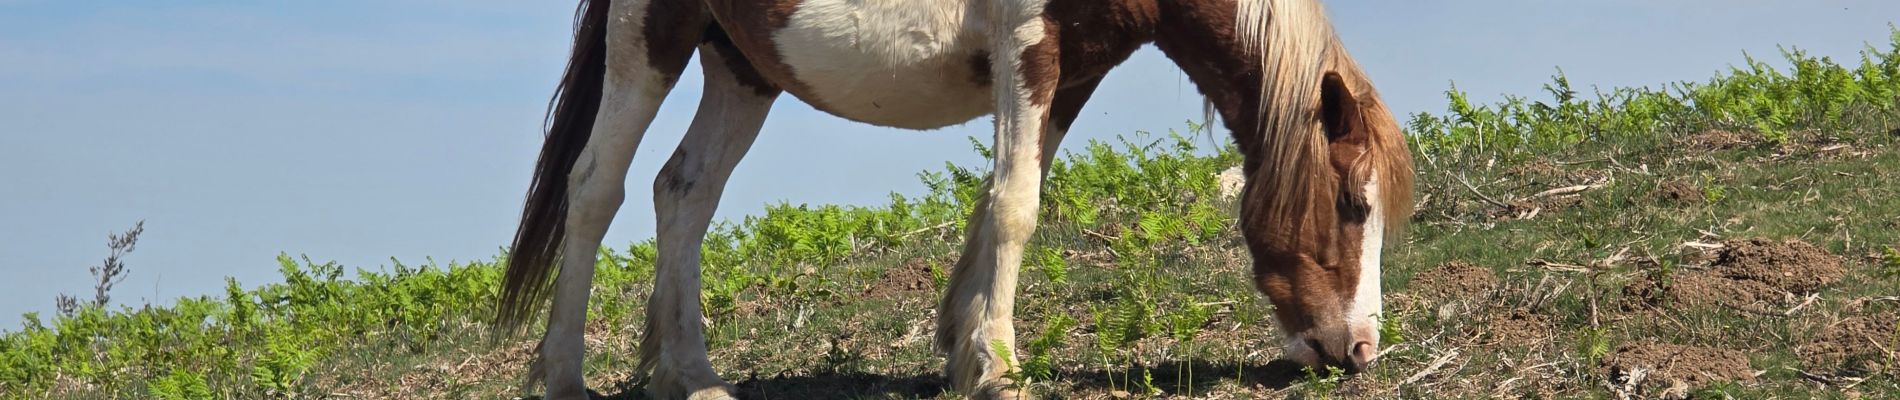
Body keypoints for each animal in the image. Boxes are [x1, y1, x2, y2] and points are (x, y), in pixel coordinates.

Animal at [490, 0, 1413, 398]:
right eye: (1353, 205)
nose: (1361, 348)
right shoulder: (1029, 47)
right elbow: (1016, 204)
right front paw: (998, 367)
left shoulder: (1071, 69)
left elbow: (1004, 199)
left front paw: (963, 343)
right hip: (651, 35)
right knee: (596, 189)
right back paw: (563, 375)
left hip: (742, 63)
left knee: (684, 191)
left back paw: (693, 377)